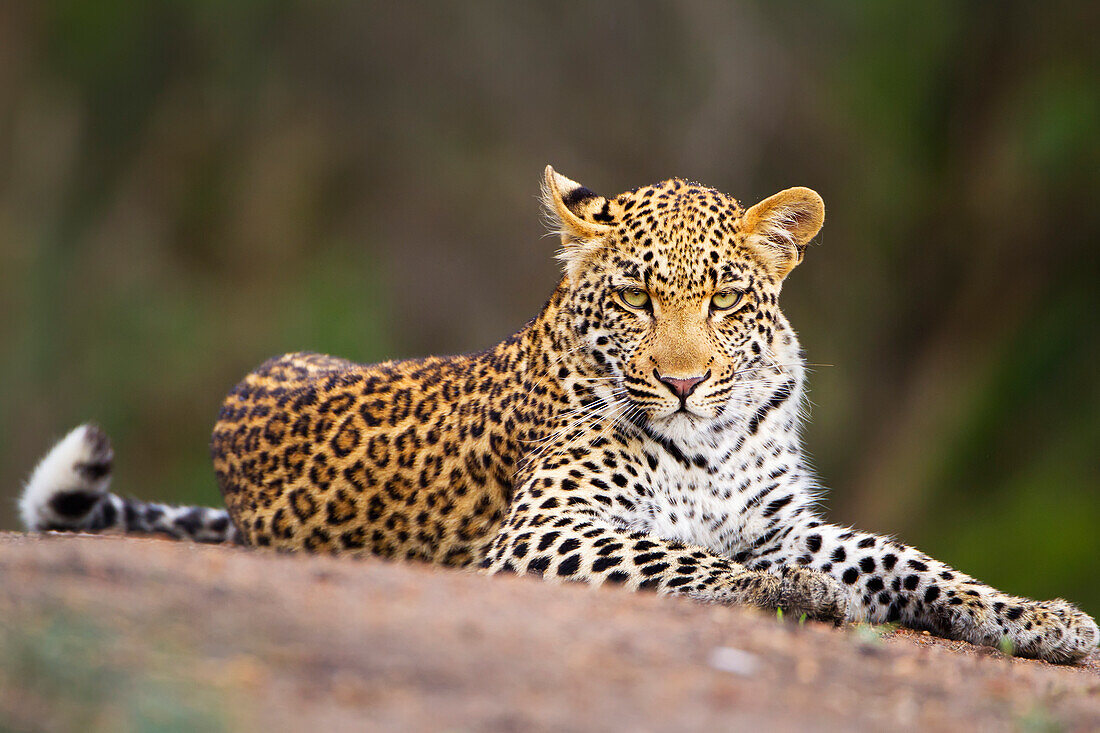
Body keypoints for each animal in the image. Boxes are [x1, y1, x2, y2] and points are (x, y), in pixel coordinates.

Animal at [19, 163, 1100, 660]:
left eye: (721, 298)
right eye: (635, 297)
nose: (681, 382)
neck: (713, 440)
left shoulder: (780, 520)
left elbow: (900, 555)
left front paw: (1038, 616)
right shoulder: (546, 529)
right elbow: (683, 558)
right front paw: (796, 594)